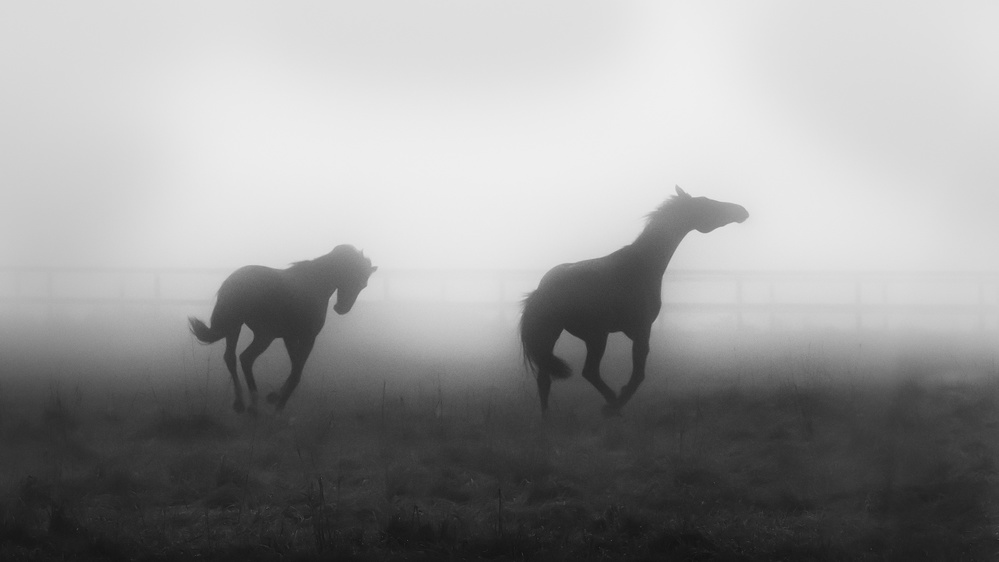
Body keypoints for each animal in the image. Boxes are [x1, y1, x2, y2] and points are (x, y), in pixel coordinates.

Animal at [188, 244, 376, 412]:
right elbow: (297, 371)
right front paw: (280, 404)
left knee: (230, 358)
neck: (314, 283)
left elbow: (294, 366)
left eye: (363, 285)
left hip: (234, 327)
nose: (342, 309)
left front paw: (276, 396)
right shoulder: (308, 337)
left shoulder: (289, 337)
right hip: (264, 335)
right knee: (246, 358)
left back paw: (240, 403)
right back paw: (253, 405)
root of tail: (233, 283)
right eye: (352, 277)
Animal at [520, 186, 748, 414]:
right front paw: (618, 400)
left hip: (552, 337)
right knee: (589, 372)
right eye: (706, 203)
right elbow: (639, 373)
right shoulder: (642, 329)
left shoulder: (631, 331)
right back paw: (612, 404)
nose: (742, 211)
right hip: (596, 337)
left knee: (544, 379)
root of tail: (542, 290)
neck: (643, 264)